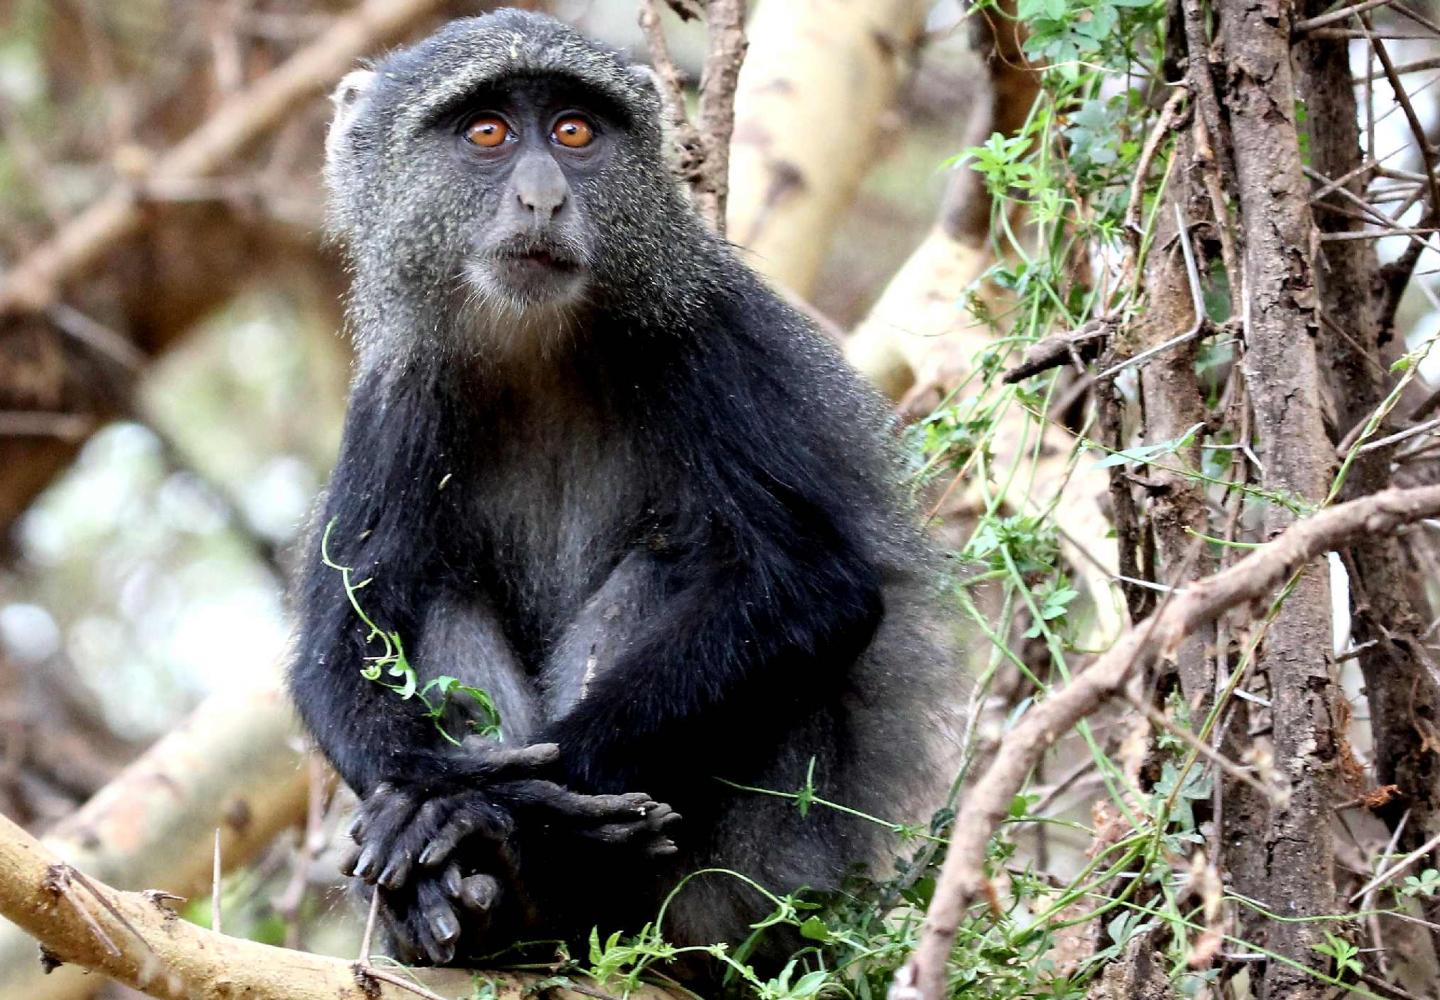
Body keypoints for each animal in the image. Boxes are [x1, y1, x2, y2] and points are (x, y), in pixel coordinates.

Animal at [290, 7, 962, 973]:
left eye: (574, 133)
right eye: (488, 133)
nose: (543, 198)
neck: (539, 344)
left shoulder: (708, 337)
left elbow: (814, 587)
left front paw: (517, 807)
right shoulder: (396, 388)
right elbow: (340, 644)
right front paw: (446, 797)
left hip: (745, 878)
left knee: (674, 560)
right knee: (439, 589)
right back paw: (487, 904)